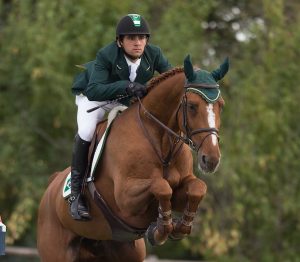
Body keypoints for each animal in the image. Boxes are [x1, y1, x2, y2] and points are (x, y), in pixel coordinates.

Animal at [38, 54, 230, 260]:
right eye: (192, 106)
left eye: (221, 105)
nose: (211, 159)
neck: (162, 143)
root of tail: (52, 185)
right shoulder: (125, 198)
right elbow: (161, 186)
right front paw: (160, 230)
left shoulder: (182, 186)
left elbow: (197, 188)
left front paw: (181, 226)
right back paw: (77, 206)